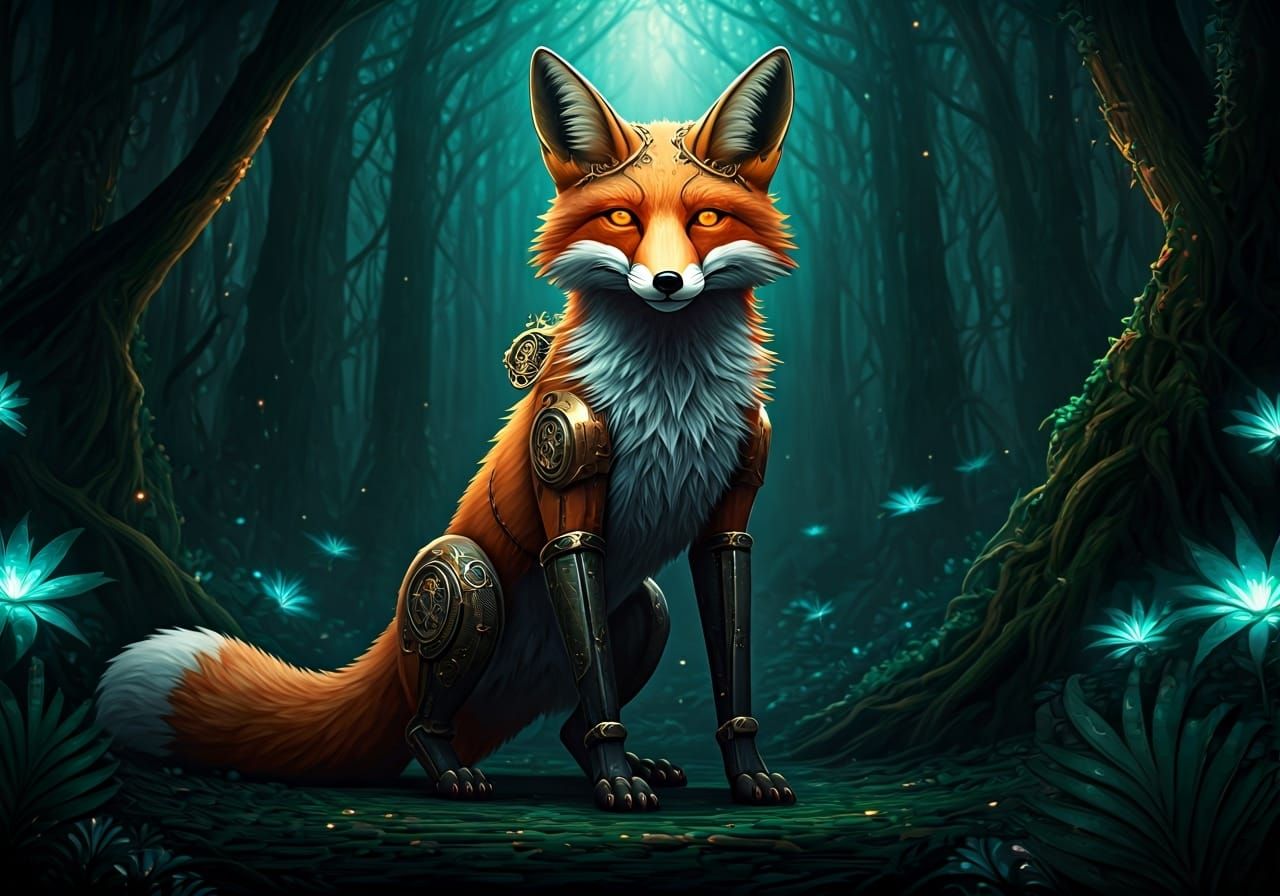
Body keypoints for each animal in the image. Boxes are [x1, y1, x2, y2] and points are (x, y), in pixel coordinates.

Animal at [96, 46, 798, 812]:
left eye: (706, 217)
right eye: (621, 217)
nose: (668, 283)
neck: (672, 397)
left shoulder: (728, 514)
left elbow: (731, 674)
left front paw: (746, 773)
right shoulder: (569, 506)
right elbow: (596, 659)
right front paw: (617, 781)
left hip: (642, 605)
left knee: (568, 722)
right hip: (462, 578)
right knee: (428, 717)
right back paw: (457, 772)